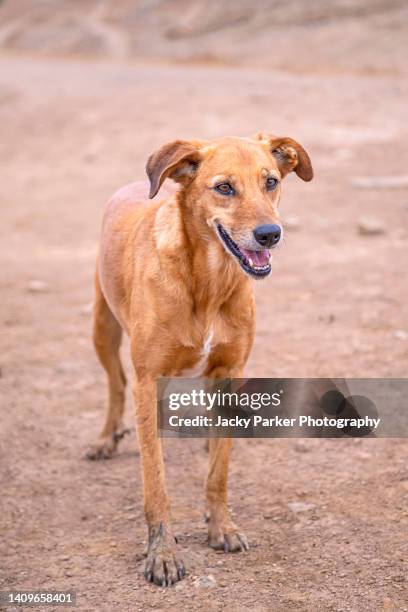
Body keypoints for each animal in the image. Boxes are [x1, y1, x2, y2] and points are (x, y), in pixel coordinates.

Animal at [87, 135, 314, 588]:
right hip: (103, 328)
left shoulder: (228, 372)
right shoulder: (148, 375)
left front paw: (220, 526)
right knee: (116, 384)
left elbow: (219, 473)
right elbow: (155, 484)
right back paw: (108, 437)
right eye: (224, 187)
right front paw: (162, 554)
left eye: (271, 182)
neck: (208, 281)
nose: (270, 234)